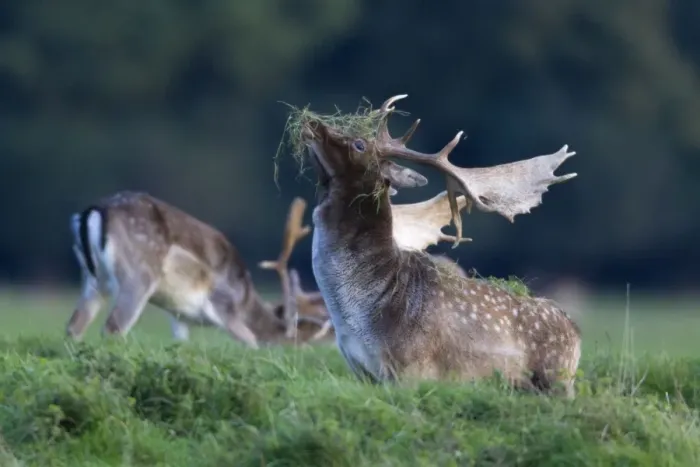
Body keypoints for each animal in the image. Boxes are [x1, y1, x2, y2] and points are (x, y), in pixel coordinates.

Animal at [66, 191, 334, 347]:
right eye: (297, 345)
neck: (245, 299)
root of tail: (92, 213)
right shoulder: (224, 308)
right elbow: (251, 342)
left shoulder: (179, 315)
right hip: (138, 276)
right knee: (113, 327)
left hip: (92, 280)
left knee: (74, 326)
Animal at [295, 94, 582, 397]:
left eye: (359, 144)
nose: (312, 122)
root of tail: (577, 333)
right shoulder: (361, 371)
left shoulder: (413, 368)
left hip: (557, 380)